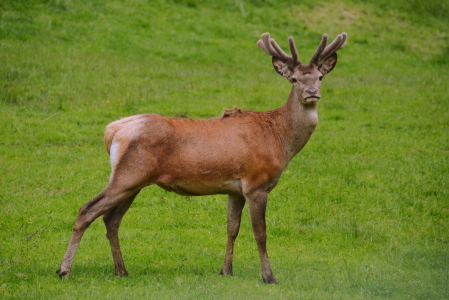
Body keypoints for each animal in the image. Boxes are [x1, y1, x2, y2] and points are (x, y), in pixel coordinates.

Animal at [56, 32, 348, 284]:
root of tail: (112, 131)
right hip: (129, 174)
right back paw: (64, 270)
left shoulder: (235, 189)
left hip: (133, 181)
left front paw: (226, 270)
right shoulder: (256, 183)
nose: (312, 93)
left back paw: (121, 270)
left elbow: (232, 228)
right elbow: (260, 233)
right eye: (294, 79)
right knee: (87, 209)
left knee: (111, 219)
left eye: (320, 77)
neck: (281, 140)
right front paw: (269, 276)